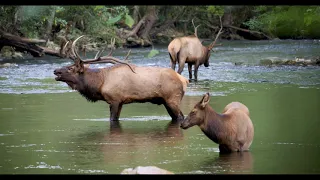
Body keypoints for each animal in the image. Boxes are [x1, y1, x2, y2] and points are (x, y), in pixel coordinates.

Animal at [54, 35, 190, 122]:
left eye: (71, 68)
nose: (55, 71)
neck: (100, 83)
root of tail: (184, 80)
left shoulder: (114, 99)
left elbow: (112, 120)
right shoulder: (120, 102)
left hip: (173, 98)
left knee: (180, 117)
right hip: (166, 101)